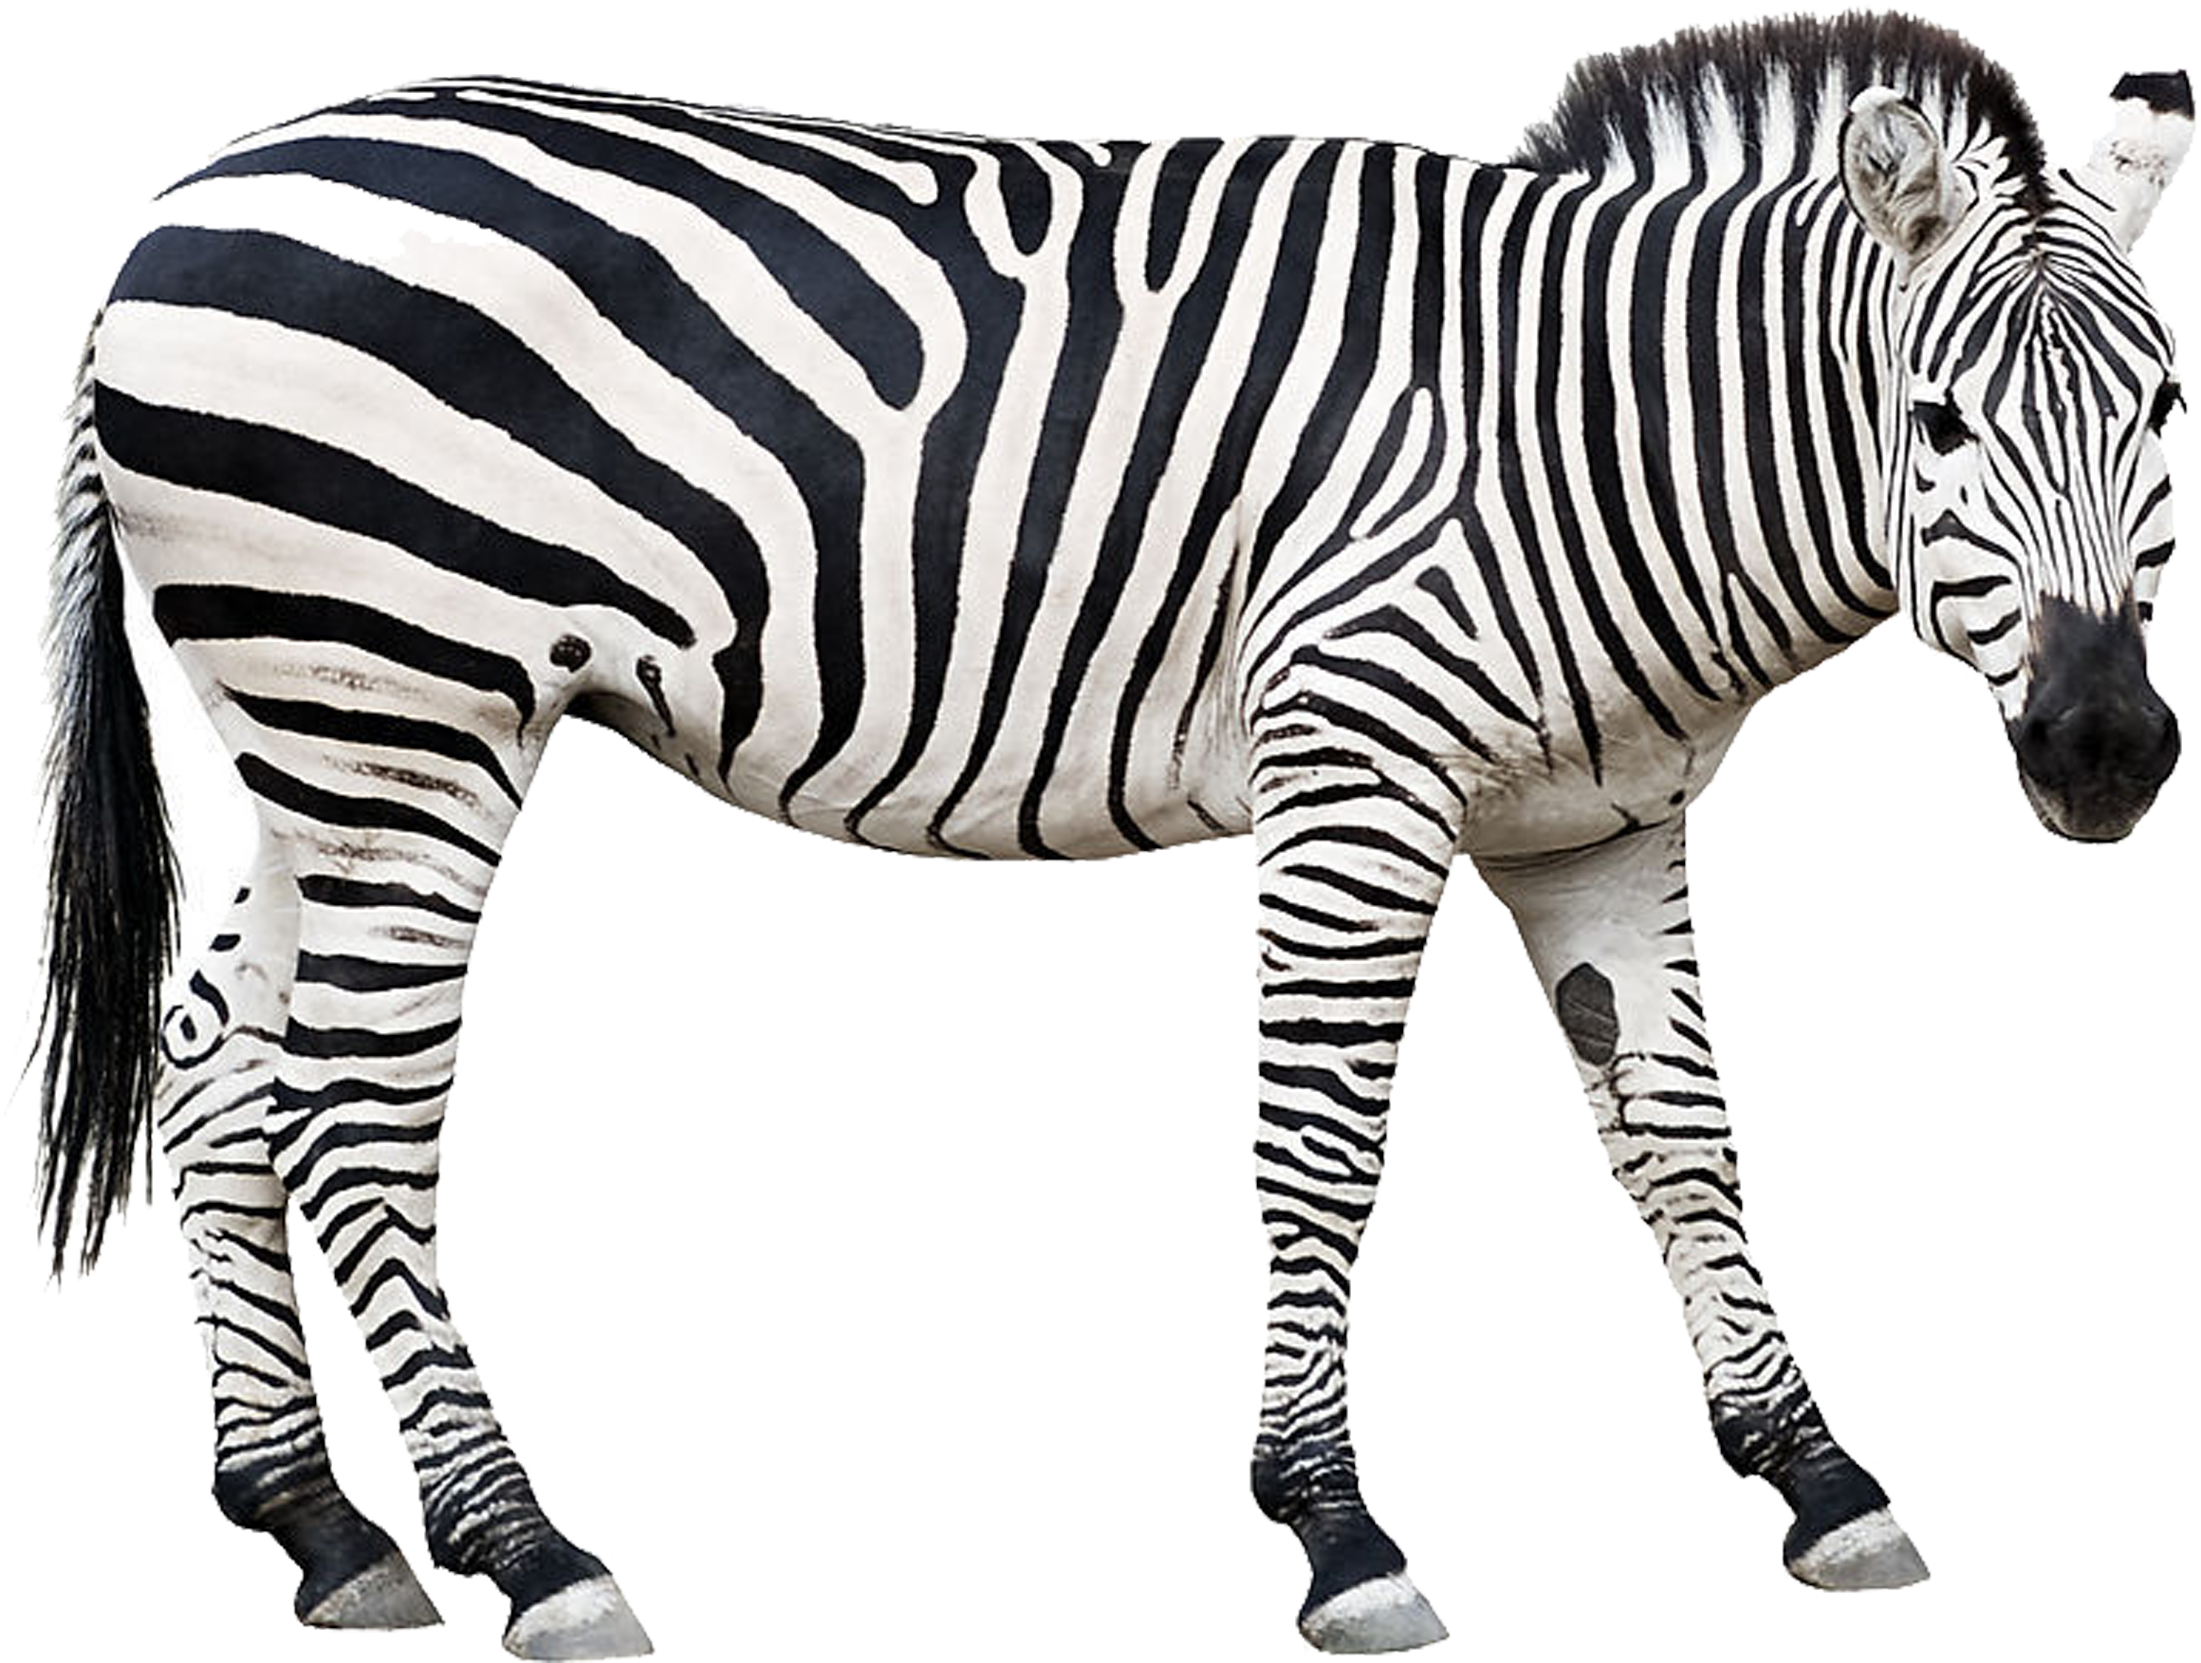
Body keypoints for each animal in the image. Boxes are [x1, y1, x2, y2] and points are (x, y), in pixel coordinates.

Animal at [15, 12, 2187, 1655]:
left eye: (2164, 421)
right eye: (1933, 425)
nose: (2100, 752)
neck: (1584, 442)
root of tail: (206, 186)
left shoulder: (1595, 818)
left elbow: (1677, 1144)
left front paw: (1816, 1480)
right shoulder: (1355, 753)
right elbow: (1319, 1151)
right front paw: (1338, 1532)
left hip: (275, 723)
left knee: (212, 1079)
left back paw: (329, 1532)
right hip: (417, 705)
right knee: (344, 1108)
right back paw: (529, 1555)